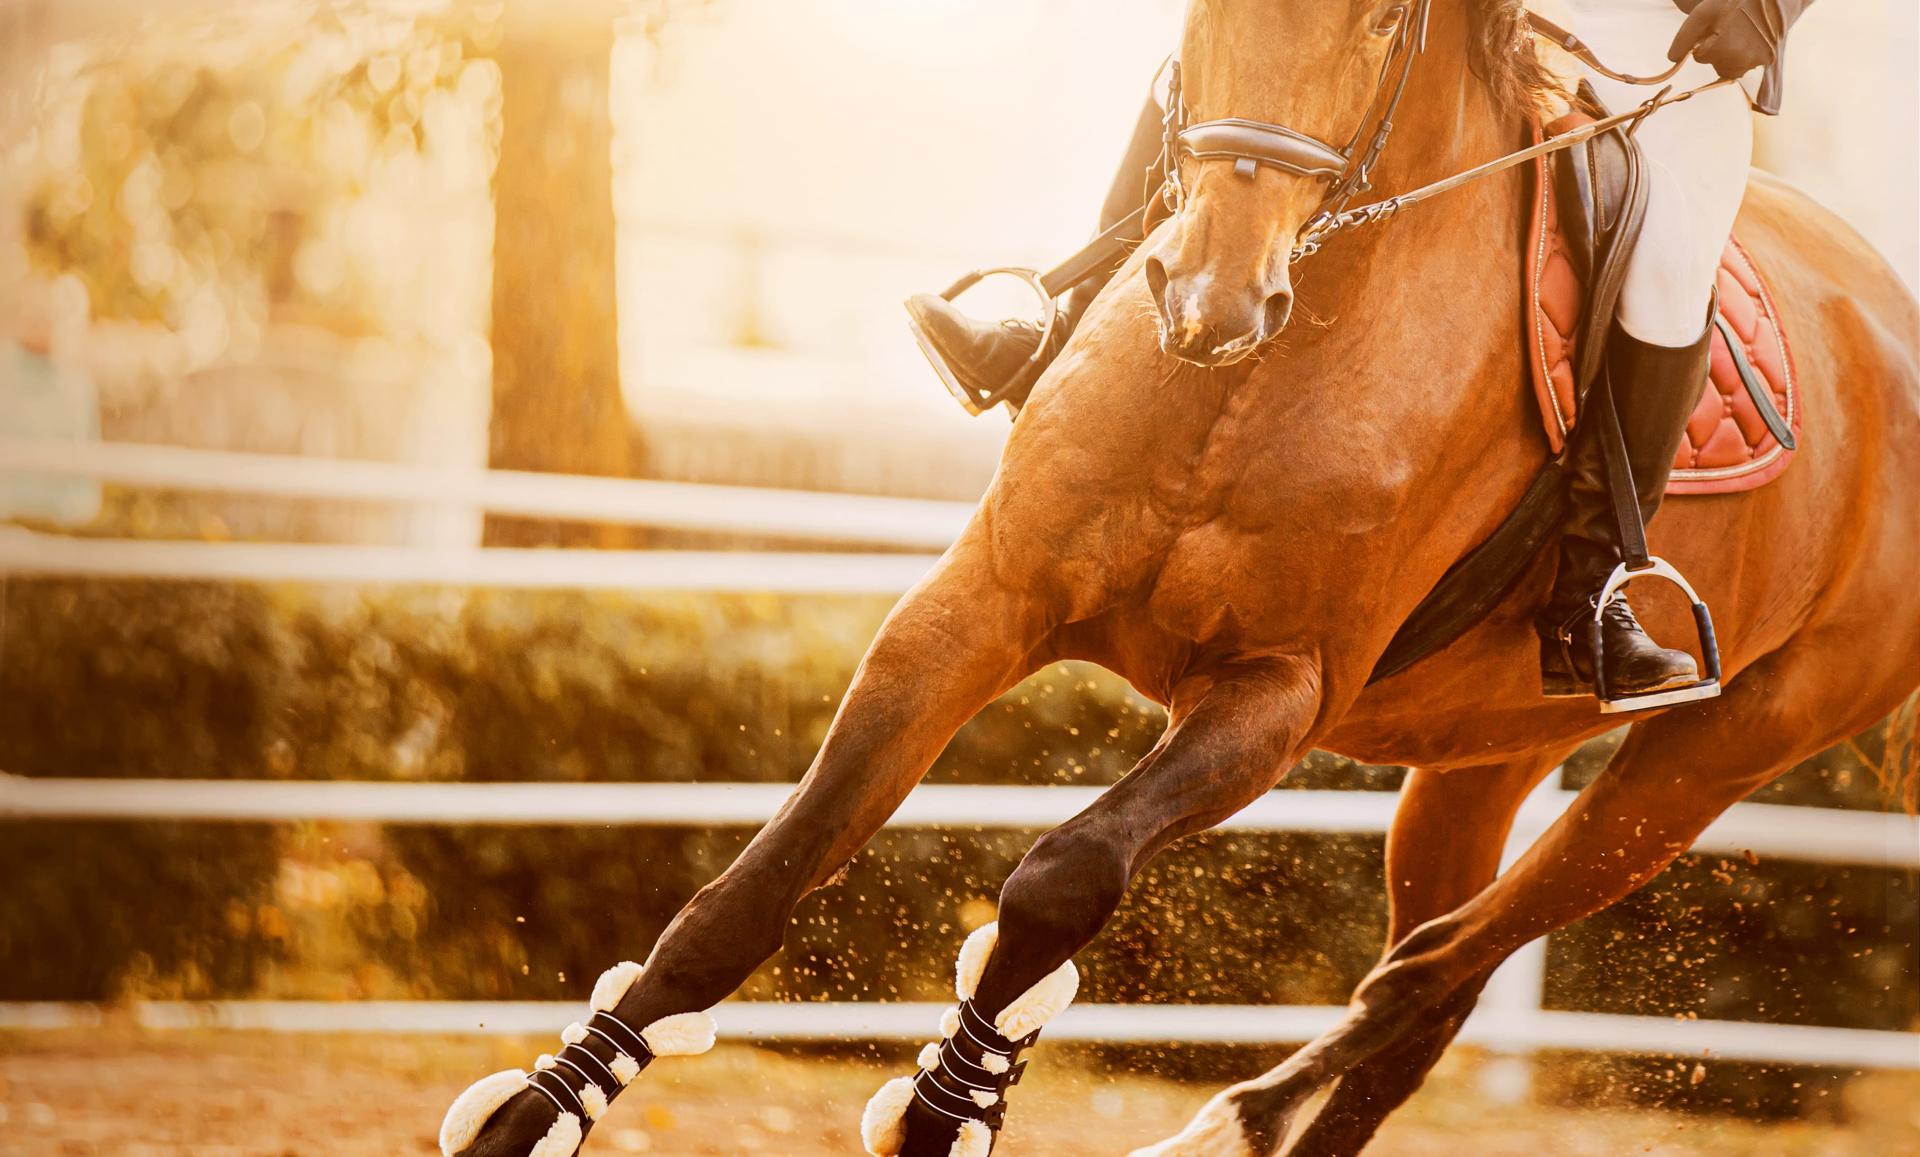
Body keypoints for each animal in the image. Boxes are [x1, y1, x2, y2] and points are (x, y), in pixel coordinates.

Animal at [441, 1, 1919, 1153]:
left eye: (1380, 24)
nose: (1214, 300)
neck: (1251, 371)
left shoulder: (1271, 694)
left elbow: (1061, 878)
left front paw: (949, 1105)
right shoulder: (976, 603)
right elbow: (763, 875)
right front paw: (538, 1109)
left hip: (1704, 762)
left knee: (1428, 972)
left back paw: (1238, 1117)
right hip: (1486, 753)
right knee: (1426, 988)